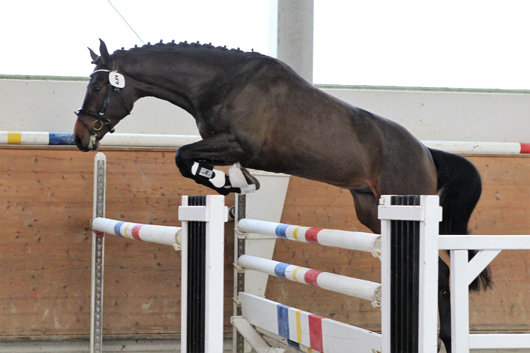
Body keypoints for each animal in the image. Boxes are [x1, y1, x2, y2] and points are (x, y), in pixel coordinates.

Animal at [74, 39, 490, 350]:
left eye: (98, 87)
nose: (80, 138)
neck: (220, 82)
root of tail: (427, 153)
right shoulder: (226, 146)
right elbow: (188, 159)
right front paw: (228, 183)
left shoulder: (239, 144)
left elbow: (183, 156)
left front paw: (225, 183)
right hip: (370, 210)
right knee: (440, 274)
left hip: (403, 199)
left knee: (441, 274)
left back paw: (447, 339)